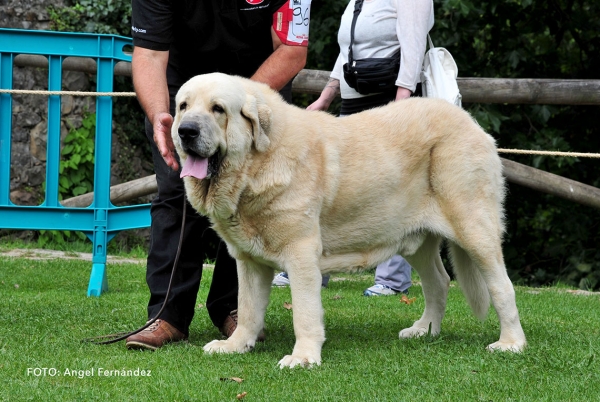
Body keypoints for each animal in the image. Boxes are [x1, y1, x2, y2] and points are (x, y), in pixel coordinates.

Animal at [172, 72, 524, 368]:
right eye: (183, 106)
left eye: (218, 109)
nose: (186, 130)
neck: (258, 163)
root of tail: (470, 122)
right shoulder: (249, 260)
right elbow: (246, 308)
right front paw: (235, 345)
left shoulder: (301, 253)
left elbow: (304, 311)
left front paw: (303, 357)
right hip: (416, 240)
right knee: (438, 281)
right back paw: (424, 330)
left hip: (474, 228)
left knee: (502, 286)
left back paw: (511, 343)